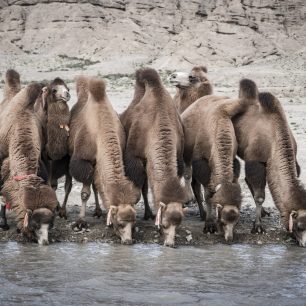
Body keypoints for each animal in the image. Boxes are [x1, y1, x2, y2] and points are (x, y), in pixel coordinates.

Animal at [68, 76, 139, 244]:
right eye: (119, 223)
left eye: (133, 223)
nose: (128, 241)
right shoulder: (84, 161)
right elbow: (84, 193)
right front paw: (80, 222)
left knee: (96, 185)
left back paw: (98, 211)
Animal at [119, 68, 191, 247]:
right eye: (164, 225)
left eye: (178, 225)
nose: (170, 244)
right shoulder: (135, 157)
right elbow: (140, 187)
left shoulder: (178, 156)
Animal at [182, 80, 258, 243]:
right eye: (222, 221)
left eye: (235, 222)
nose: (229, 238)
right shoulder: (201, 162)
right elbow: (208, 194)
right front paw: (209, 225)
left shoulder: (233, 162)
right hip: (187, 156)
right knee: (192, 182)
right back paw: (202, 213)